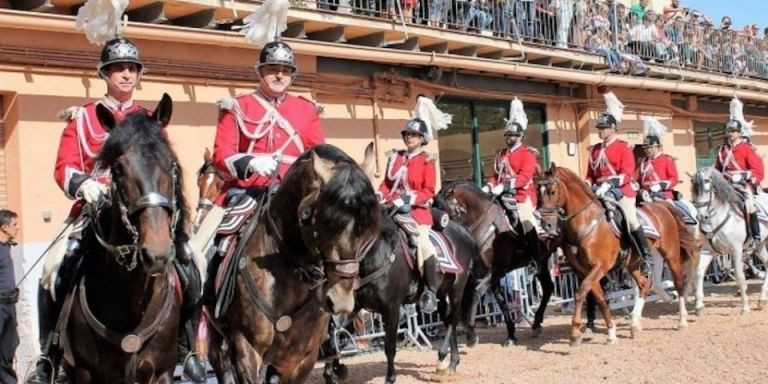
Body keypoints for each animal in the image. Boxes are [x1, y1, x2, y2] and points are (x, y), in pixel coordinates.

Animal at [432, 182, 552, 346]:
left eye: (443, 210)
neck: (484, 222)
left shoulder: (496, 270)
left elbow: (475, 294)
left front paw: (471, 334)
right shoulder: (483, 274)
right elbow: (500, 302)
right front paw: (511, 335)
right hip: (543, 264)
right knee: (548, 288)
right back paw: (536, 325)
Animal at [536, 165, 700, 344]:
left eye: (552, 191)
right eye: (537, 192)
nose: (546, 225)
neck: (587, 221)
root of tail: (662, 206)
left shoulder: (600, 267)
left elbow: (580, 293)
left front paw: (574, 333)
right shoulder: (586, 271)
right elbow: (600, 299)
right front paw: (611, 333)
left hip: (670, 254)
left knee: (679, 282)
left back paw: (682, 320)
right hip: (633, 264)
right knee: (644, 285)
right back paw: (635, 324)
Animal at [688, 166, 768, 314]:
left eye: (706, 187)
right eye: (694, 188)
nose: (701, 217)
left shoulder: (736, 249)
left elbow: (739, 275)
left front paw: (745, 306)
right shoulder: (707, 251)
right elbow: (699, 273)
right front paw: (699, 306)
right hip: (760, 246)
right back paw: (762, 298)